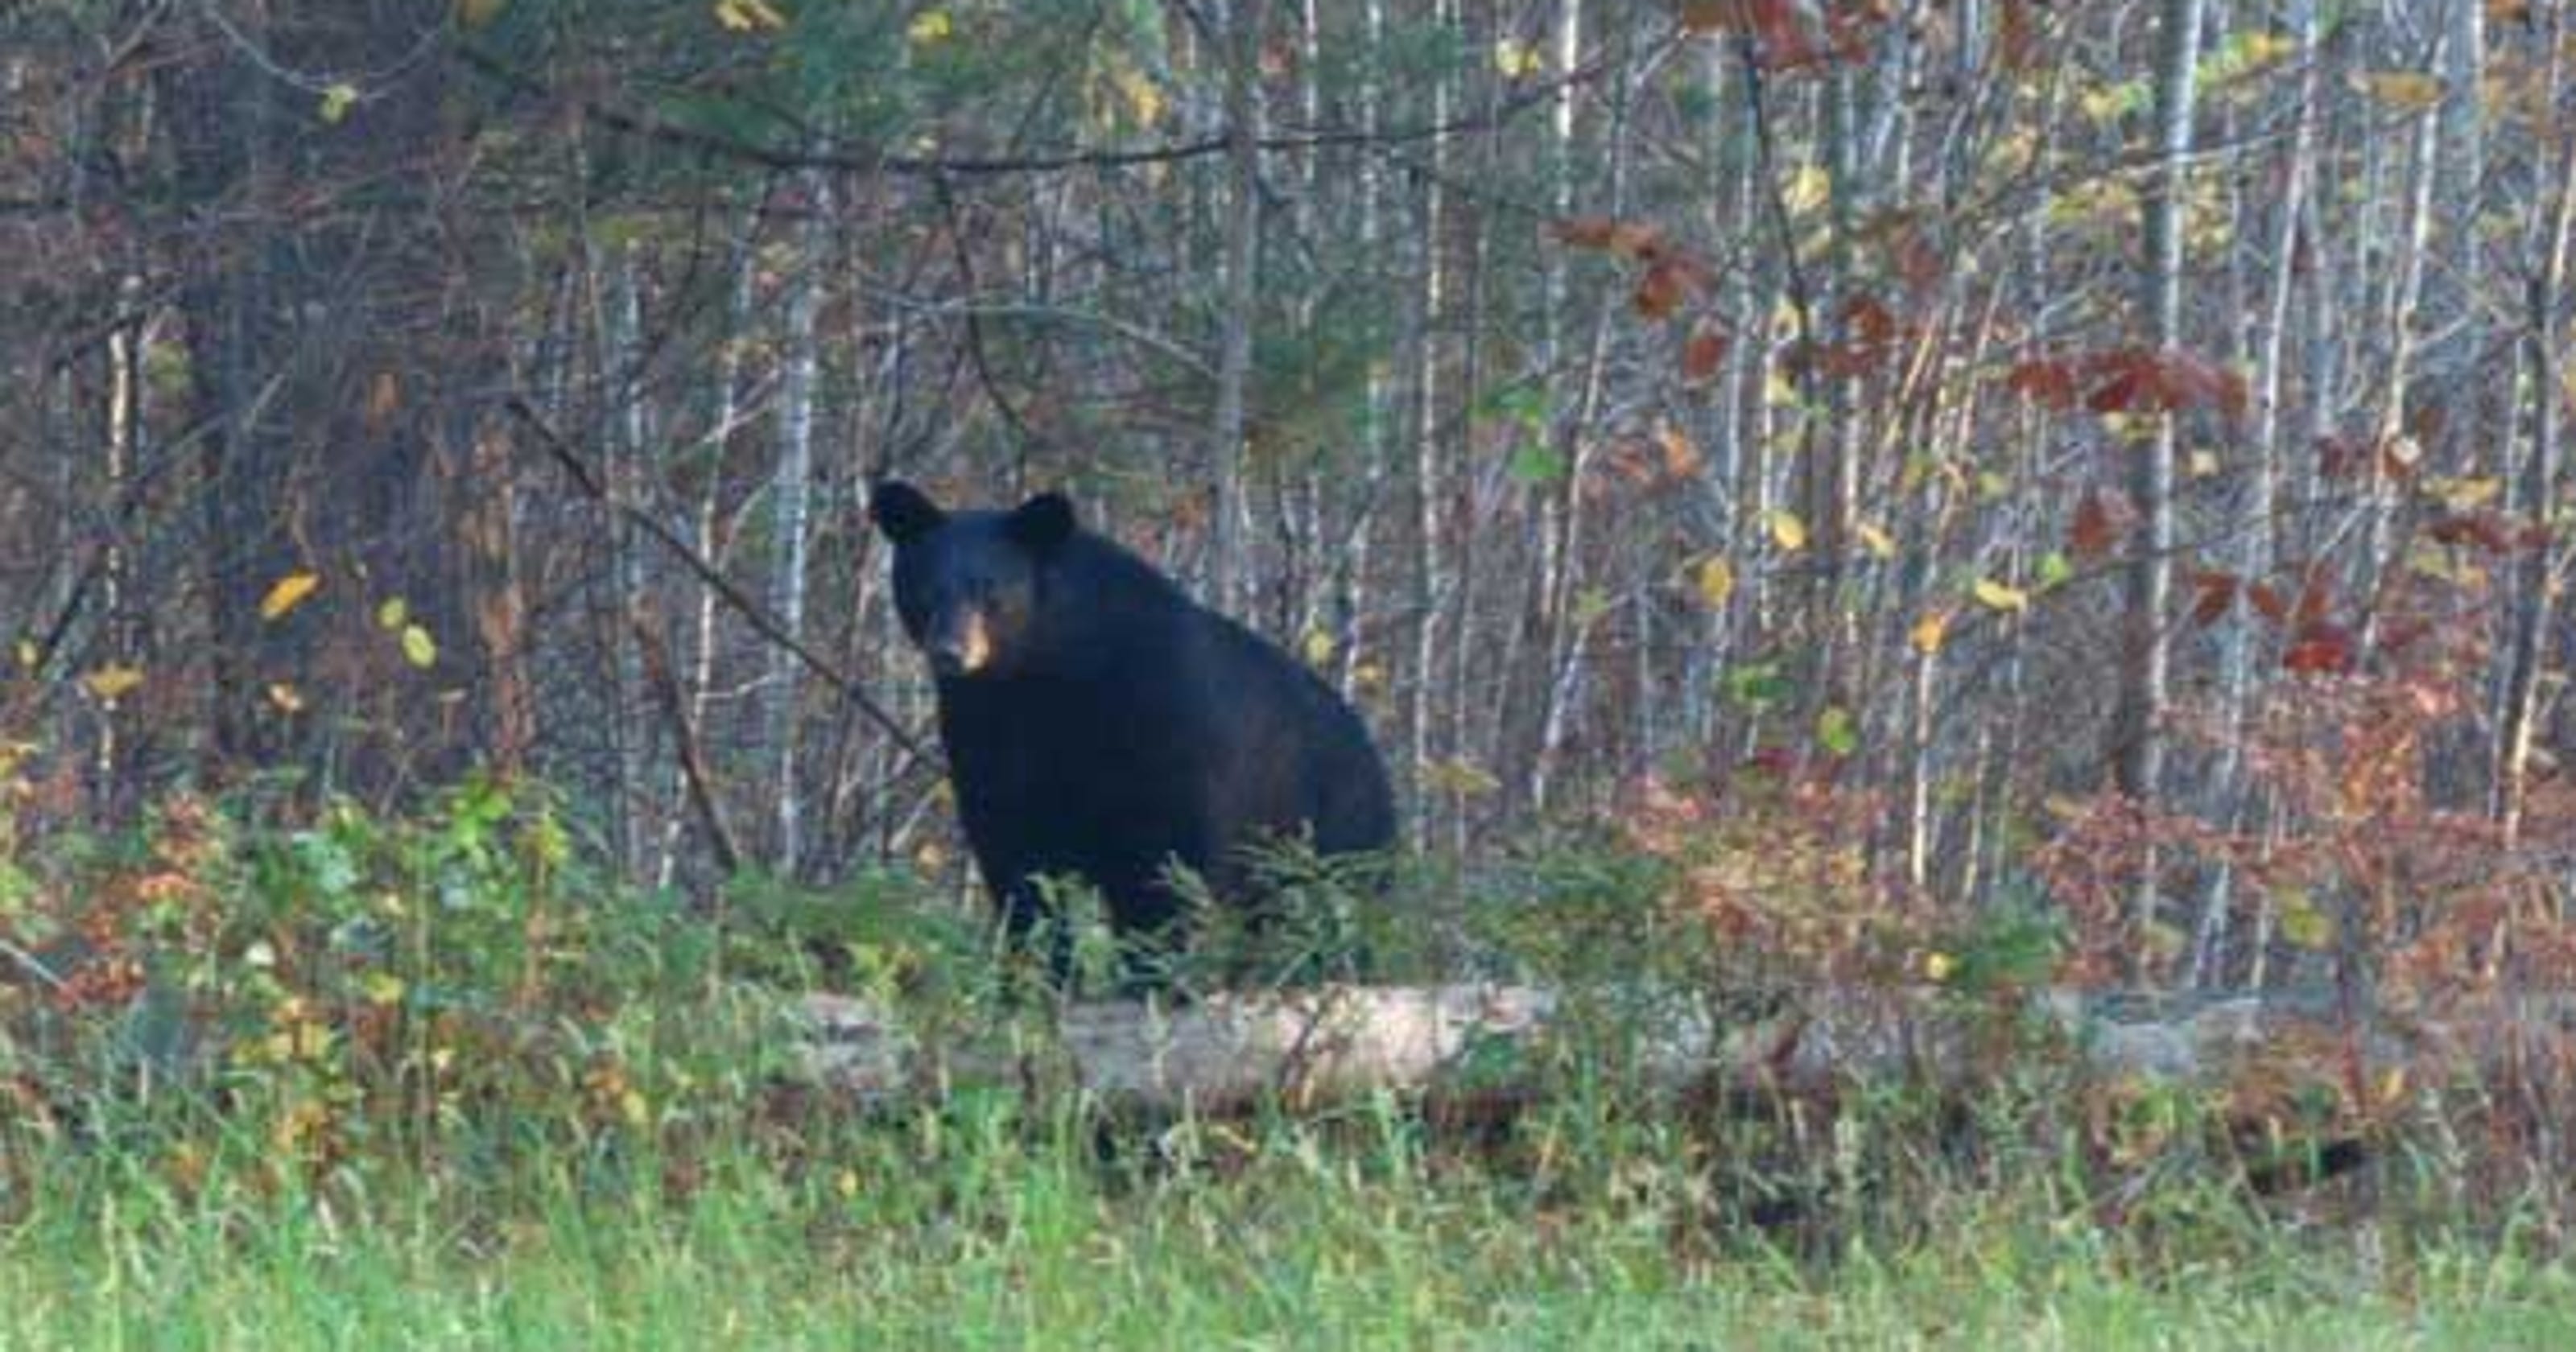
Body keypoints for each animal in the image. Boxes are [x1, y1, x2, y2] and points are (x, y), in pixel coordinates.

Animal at [870, 480, 1398, 981]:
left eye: (990, 591)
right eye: (926, 588)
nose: (950, 651)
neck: (1039, 679)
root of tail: (1370, 745)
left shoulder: (1160, 731)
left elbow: (1163, 866)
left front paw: (1153, 974)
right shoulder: (987, 739)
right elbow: (1018, 866)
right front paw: (1036, 977)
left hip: (1330, 823)